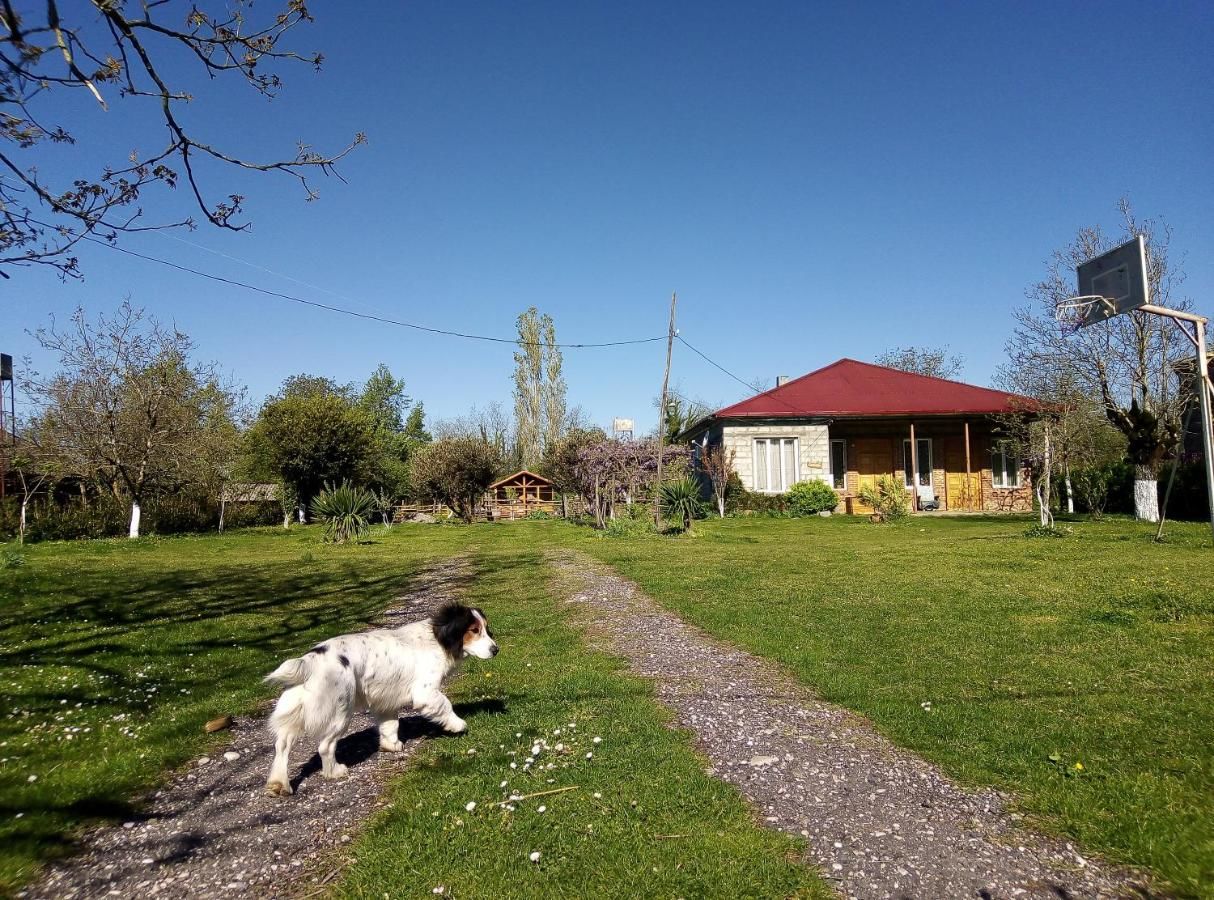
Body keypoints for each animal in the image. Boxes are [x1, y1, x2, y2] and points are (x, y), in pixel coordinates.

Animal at [263, 604, 495, 791]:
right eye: (474, 630)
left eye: (485, 628)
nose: (496, 649)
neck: (436, 638)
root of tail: (311, 660)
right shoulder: (425, 692)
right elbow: (445, 705)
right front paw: (458, 725)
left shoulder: (386, 702)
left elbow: (390, 725)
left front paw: (391, 745)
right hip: (340, 713)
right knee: (325, 746)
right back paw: (334, 772)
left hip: (295, 713)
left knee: (282, 745)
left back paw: (279, 784)